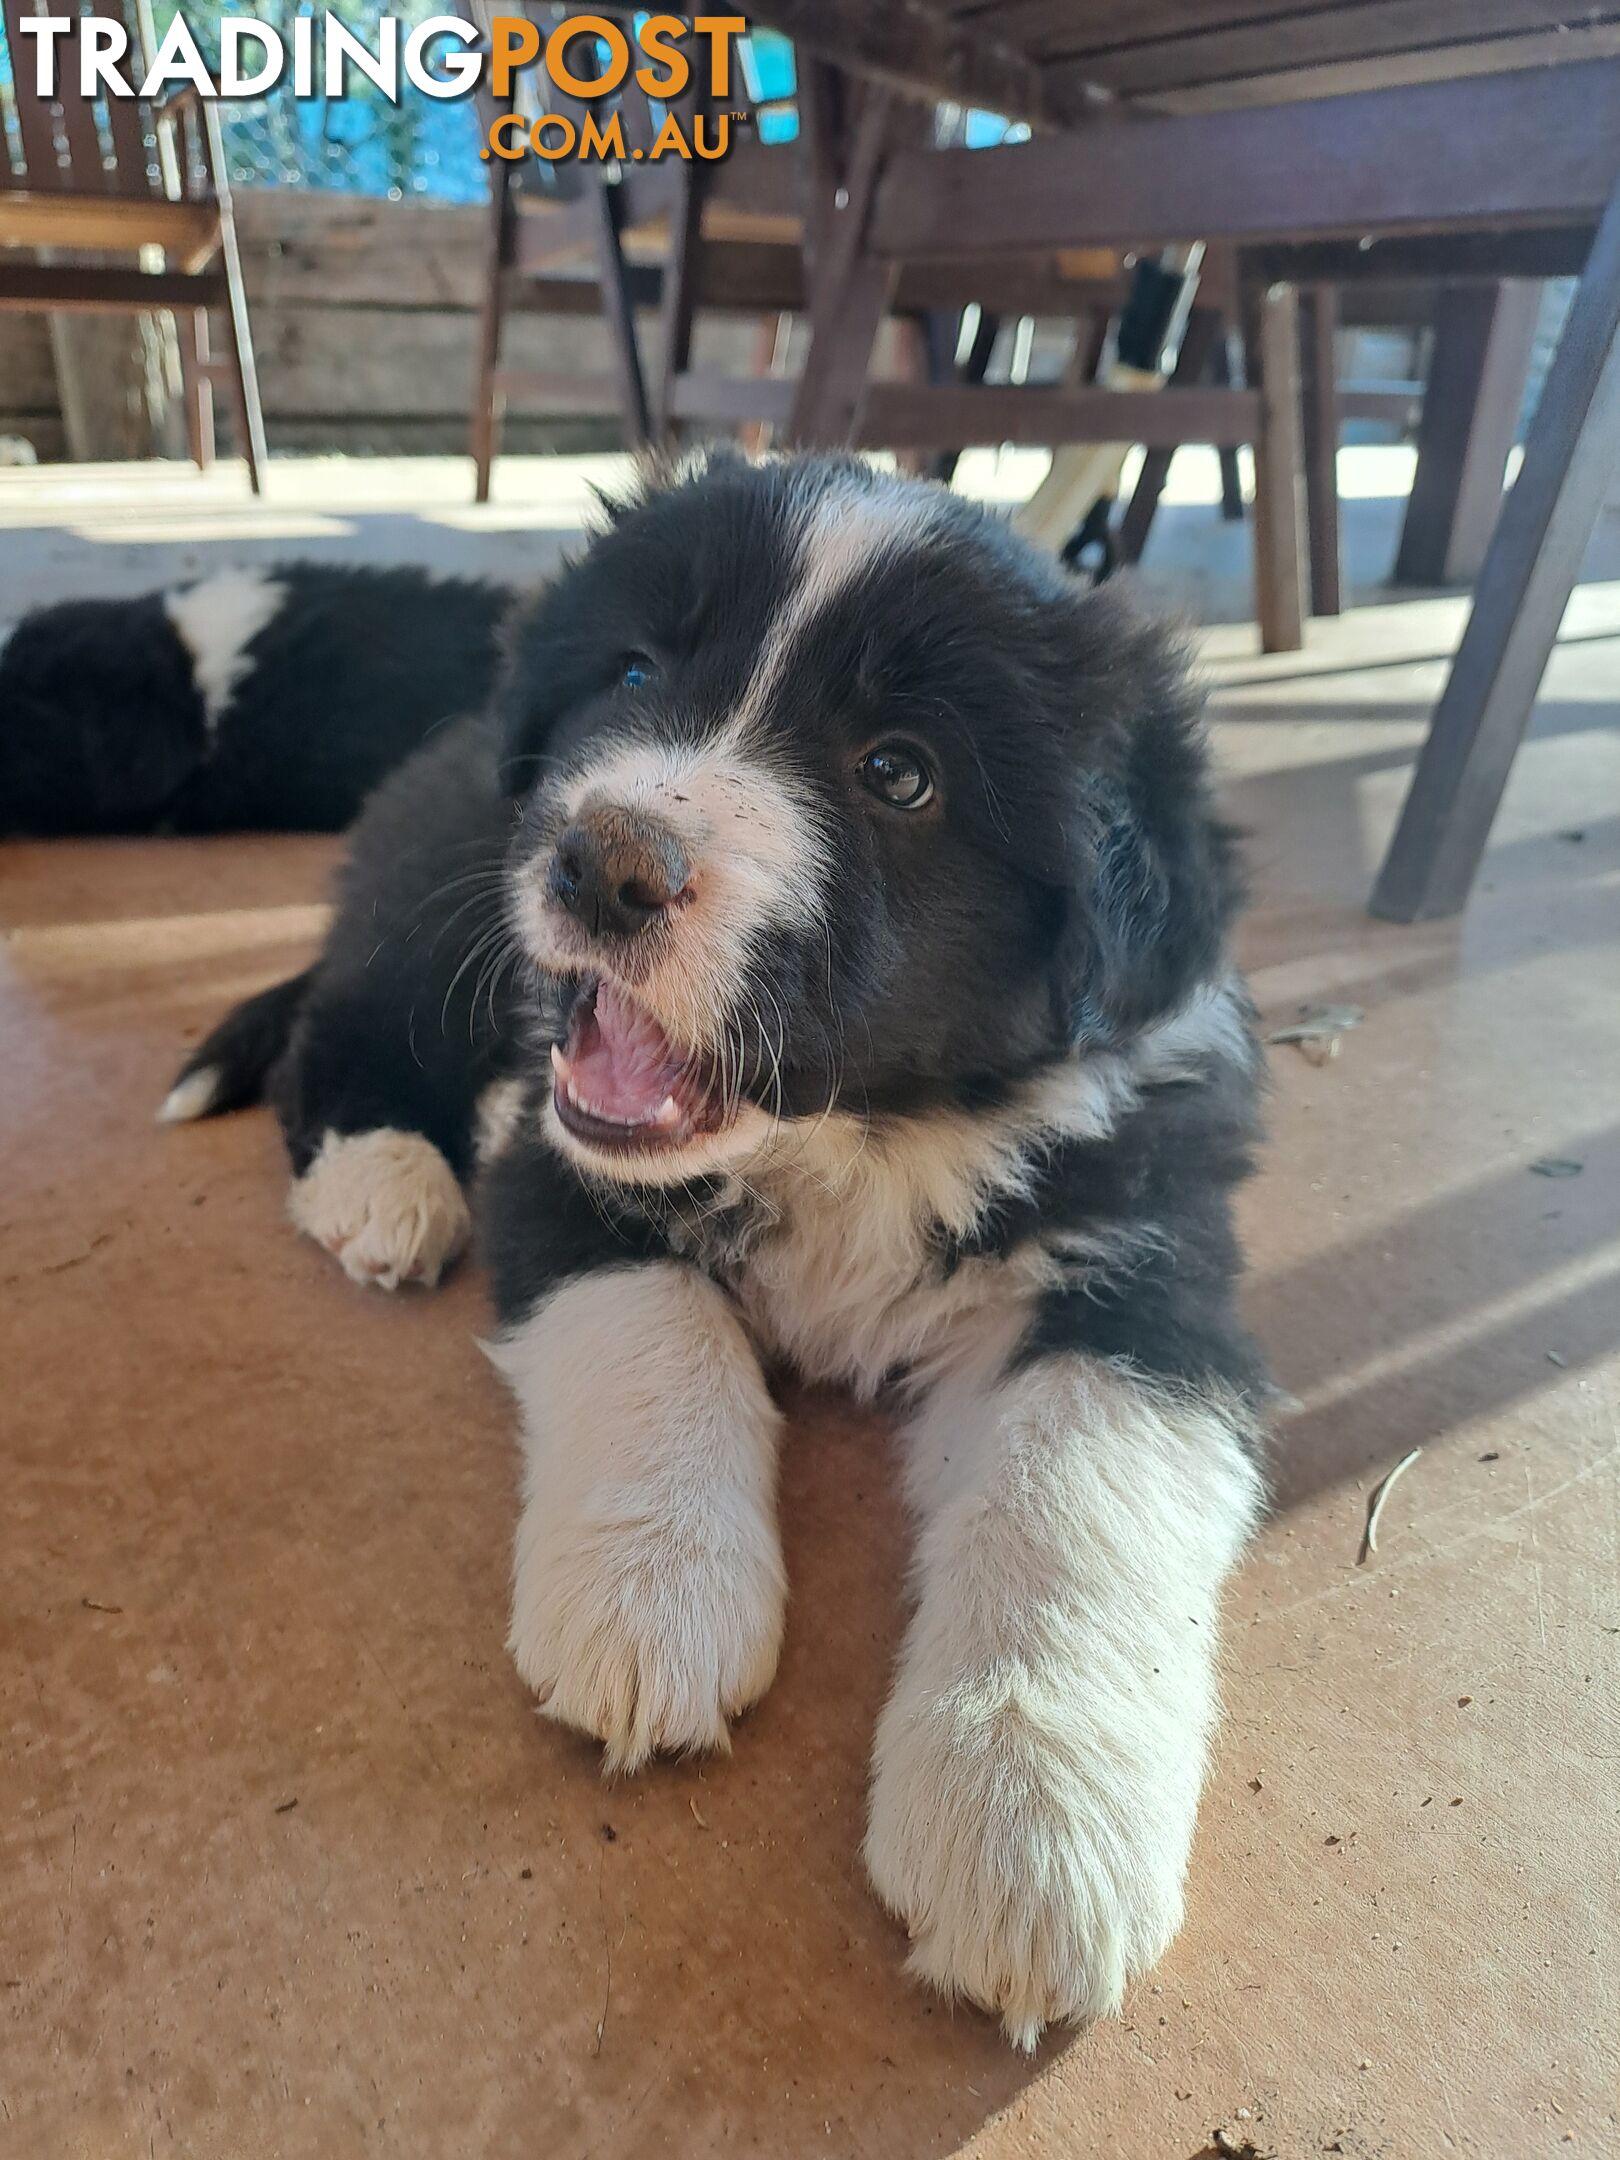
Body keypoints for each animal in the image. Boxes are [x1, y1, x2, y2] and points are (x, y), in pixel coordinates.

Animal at [171, 451, 1278, 2039]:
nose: (603, 862)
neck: (855, 1138)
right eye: (635, 670)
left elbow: (1078, 1487)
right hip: (435, 913)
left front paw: (1031, 1818)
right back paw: (383, 1182)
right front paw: (654, 1603)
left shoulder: (1149, 1264)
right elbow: (660, 1330)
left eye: (900, 772)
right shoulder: (555, 1160)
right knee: (346, 1025)